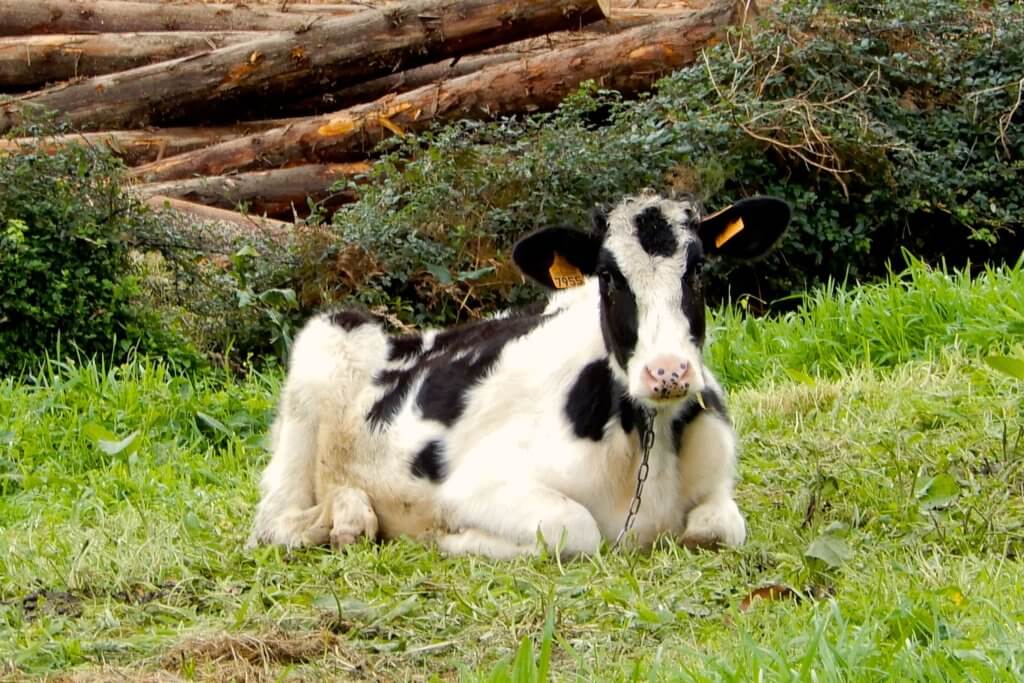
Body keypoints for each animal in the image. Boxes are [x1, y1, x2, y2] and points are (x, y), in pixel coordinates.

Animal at [249, 189, 790, 557]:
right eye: (609, 276)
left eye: (697, 269)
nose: (668, 372)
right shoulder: (475, 486)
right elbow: (575, 528)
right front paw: (457, 539)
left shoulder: (716, 484)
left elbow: (722, 527)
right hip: (319, 359)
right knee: (275, 520)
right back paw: (346, 519)